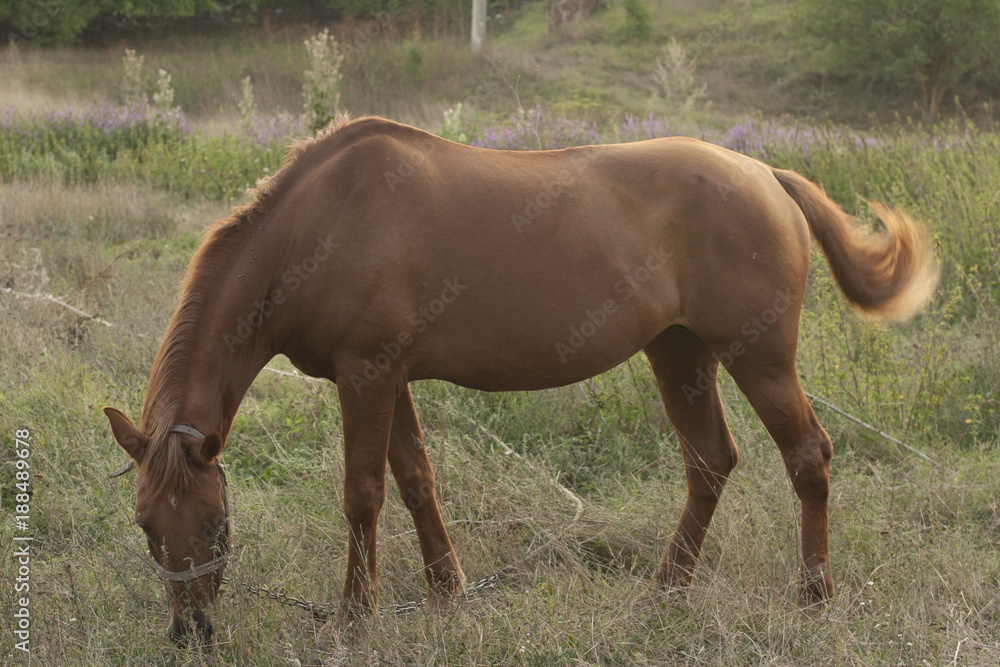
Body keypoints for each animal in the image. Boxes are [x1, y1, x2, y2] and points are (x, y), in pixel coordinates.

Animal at [104, 114, 936, 640]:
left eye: (215, 523)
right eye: (146, 524)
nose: (189, 632)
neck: (319, 224)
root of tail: (764, 172)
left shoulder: (367, 374)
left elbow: (363, 493)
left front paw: (355, 615)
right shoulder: (388, 376)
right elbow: (416, 480)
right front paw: (447, 594)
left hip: (756, 356)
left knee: (807, 457)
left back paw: (813, 599)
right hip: (680, 353)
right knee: (709, 463)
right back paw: (663, 594)